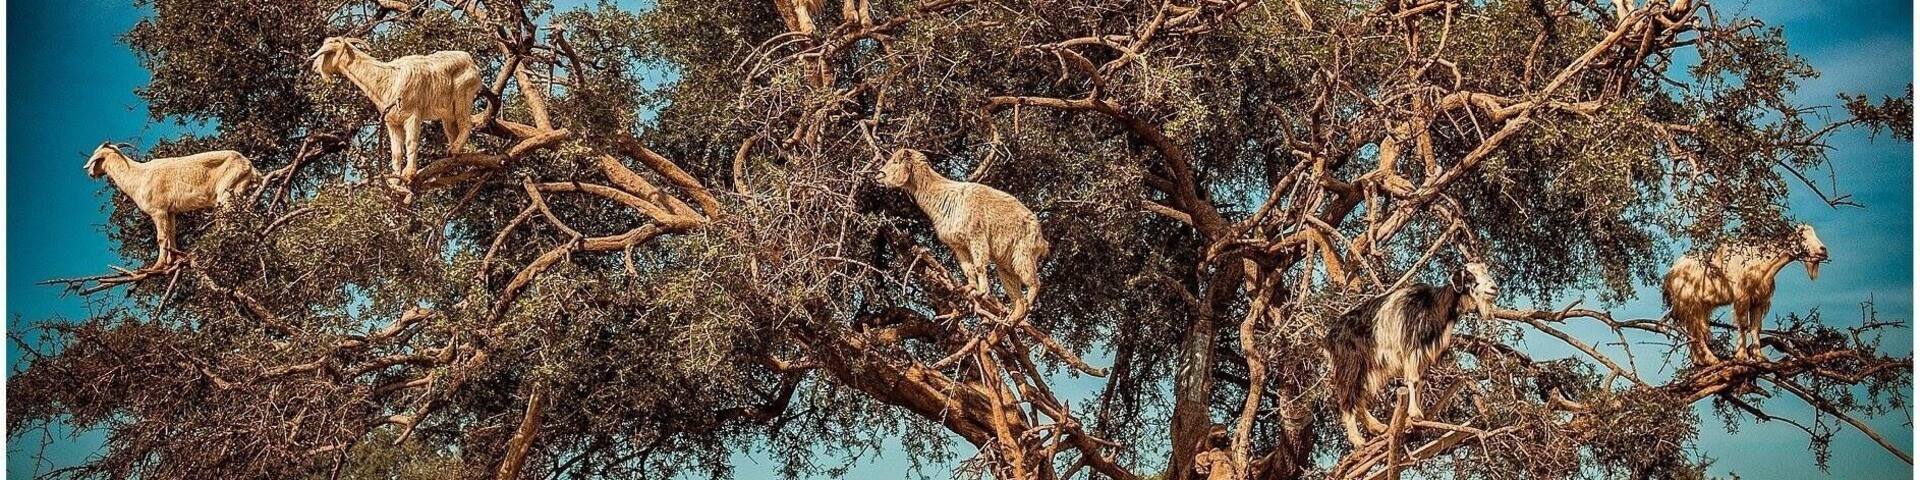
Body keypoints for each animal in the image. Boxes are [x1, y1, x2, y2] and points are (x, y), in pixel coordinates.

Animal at [84, 142, 260, 269]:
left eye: (96, 159)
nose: (90, 173)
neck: (137, 176)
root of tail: (248, 164)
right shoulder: (170, 212)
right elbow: (172, 235)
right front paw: (174, 260)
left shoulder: (158, 211)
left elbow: (162, 238)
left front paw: (157, 266)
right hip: (237, 188)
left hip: (227, 191)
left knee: (229, 218)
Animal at [309, 36, 482, 185]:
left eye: (326, 52)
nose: (314, 67)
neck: (387, 79)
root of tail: (472, 63)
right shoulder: (392, 122)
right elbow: (396, 153)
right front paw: (394, 180)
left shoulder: (412, 115)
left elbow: (411, 143)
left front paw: (409, 174)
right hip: (448, 113)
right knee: (454, 130)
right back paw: (457, 157)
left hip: (463, 94)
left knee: (466, 123)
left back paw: (454, 150)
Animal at [875, 149, 1049, 323]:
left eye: (896, 161)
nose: (879, 176)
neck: (944, 196)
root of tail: (1042, 241)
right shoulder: (958, 245)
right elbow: (968, 268)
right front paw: (970, 288)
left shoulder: (976, 235)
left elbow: (979, 265)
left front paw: (982, 292)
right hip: (1005, 262)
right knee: (1015, 290)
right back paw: (1012, 318)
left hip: (1023, 250)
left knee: (1034, 281)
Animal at [1323, 262, 1495, 446]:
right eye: (1469, 275)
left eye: (1485, 271)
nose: (1494, 288)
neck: (1434, 306)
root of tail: (1329, 338)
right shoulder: (1411, 349)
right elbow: (1412, 380)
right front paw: (1414, 412)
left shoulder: (1425, 355)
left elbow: (1421, 382)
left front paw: (1419, 413)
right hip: (1350, 365)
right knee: (1347, 397)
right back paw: (1358, 440)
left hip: (1367, 367)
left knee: (1358, 397)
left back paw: (1377, 427)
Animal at [1663, 224, 1829, 364]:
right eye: (1801, 236)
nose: (1823, 250)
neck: (1762, 262)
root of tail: (1670, 274)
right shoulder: (1742, 297)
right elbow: (1743, 325)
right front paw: (1741, 355)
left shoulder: (1759, 301)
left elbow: (1755, 327)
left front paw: (1759, 356)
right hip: (1691, 304)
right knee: (1697, 331)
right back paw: (1711, 359)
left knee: (1693, 331)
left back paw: (1700, 360)